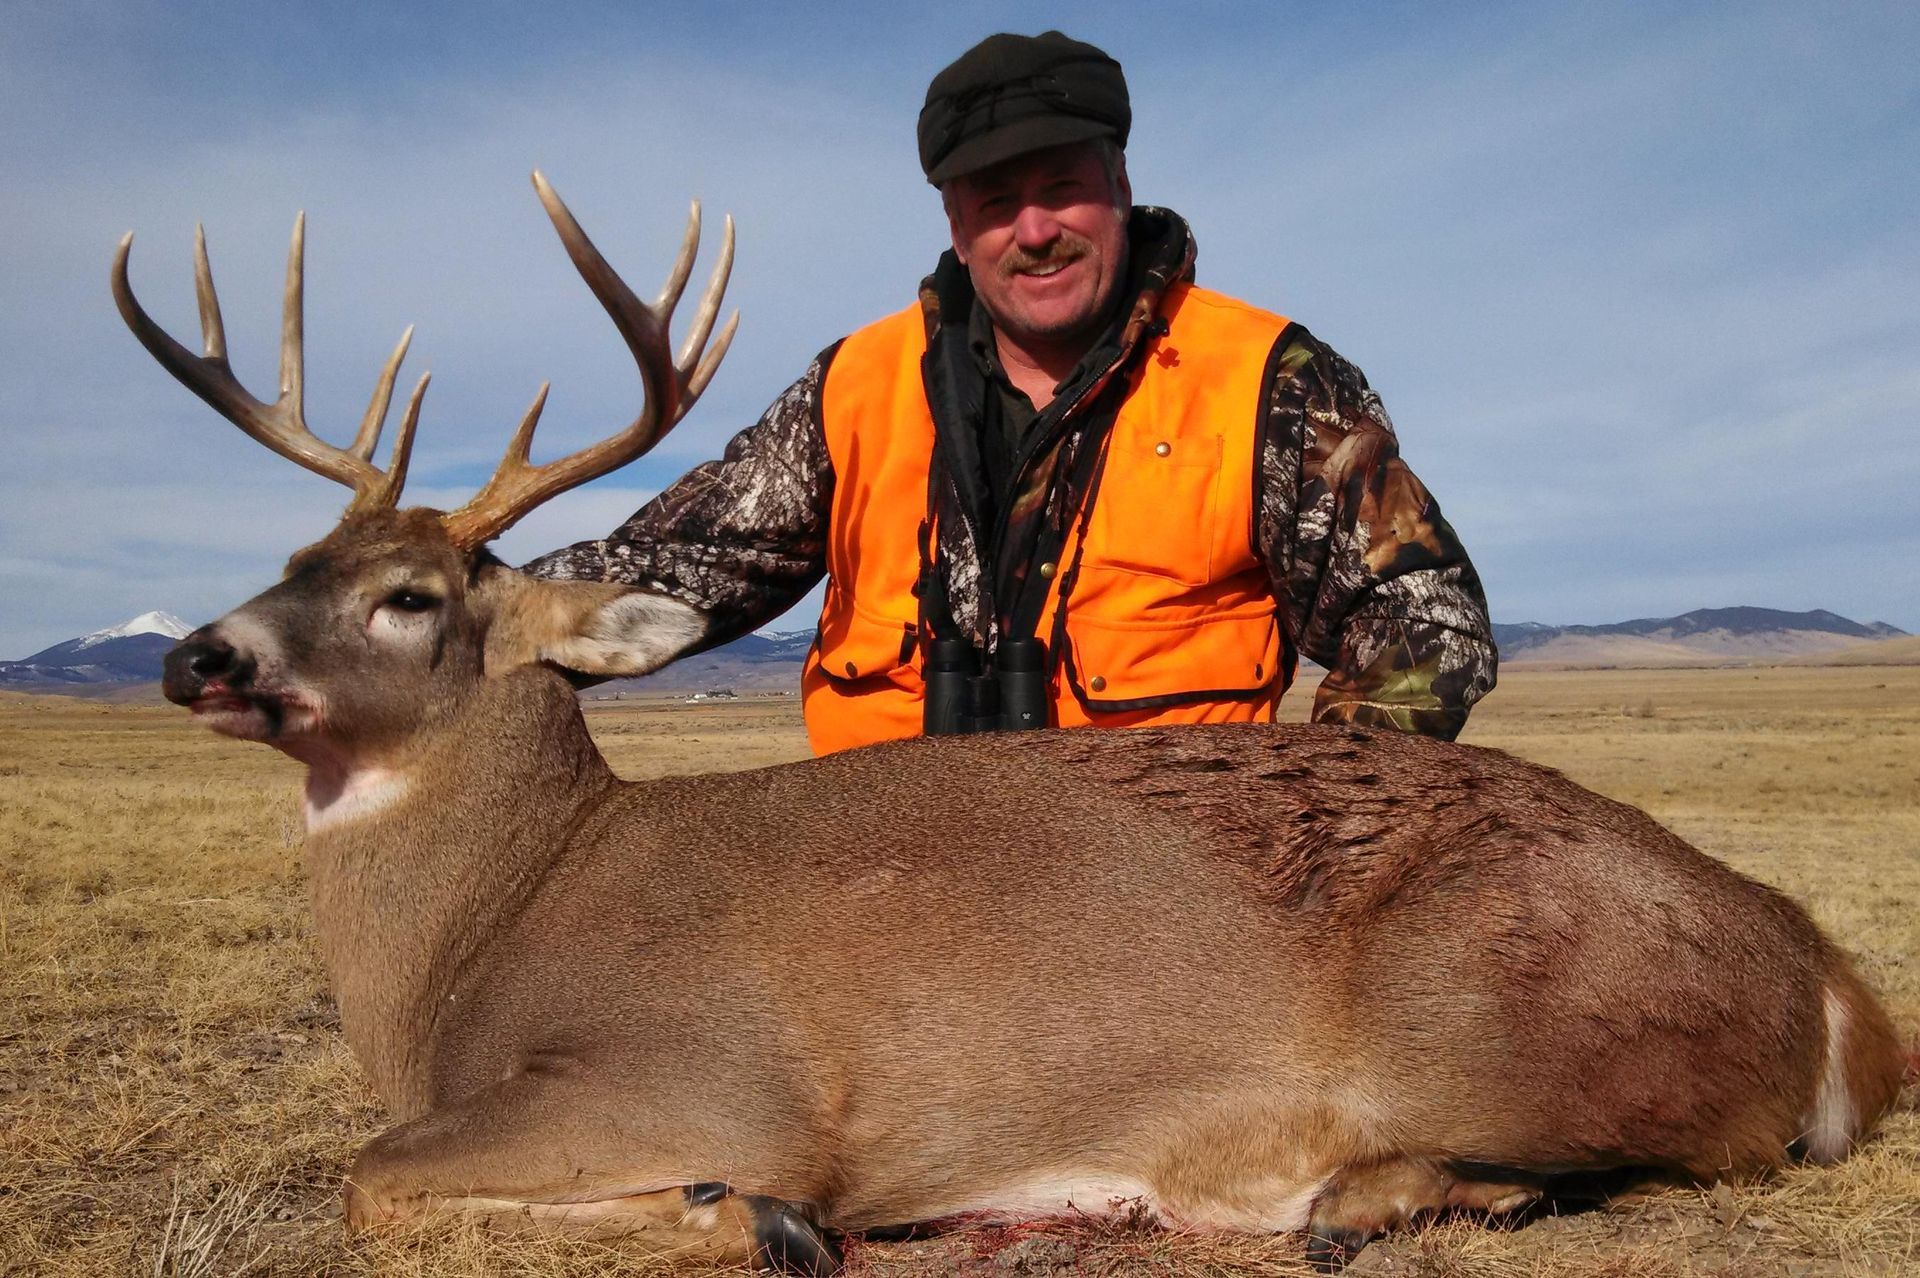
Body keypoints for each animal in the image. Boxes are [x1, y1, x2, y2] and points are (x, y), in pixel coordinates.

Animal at [114, 173, 1906, 1273]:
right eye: (293, 561)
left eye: (412, 594)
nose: (196, 654)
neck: (493, 927)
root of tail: (1823, 969)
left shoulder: (713, 1074)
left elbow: (376, 1177)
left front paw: (746, 1219)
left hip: (1493, 1015)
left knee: (1613, 1155)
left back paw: (1335, 1192)